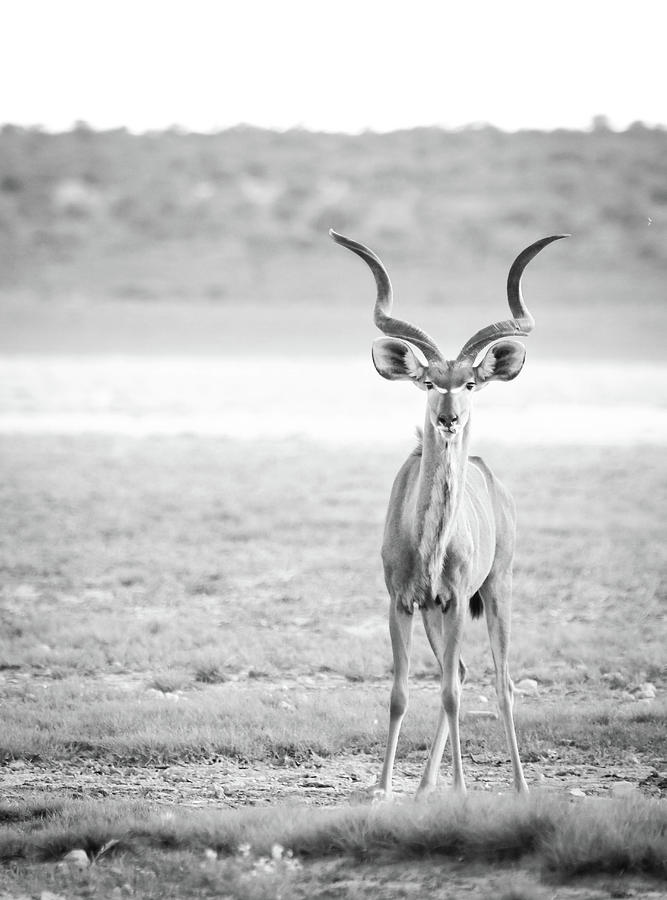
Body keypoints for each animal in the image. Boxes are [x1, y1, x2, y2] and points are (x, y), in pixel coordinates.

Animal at [332, 229, 568, 800]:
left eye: (470, 383)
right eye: (428, 381)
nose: (448, 418)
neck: (430, 542)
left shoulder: (459, 598)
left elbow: (452, 694)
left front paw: (460, 789)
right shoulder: (401, 601)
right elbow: (401, 692)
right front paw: (384, 789)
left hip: (498, 588)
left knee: (500, 682)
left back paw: (519, 787)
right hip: (436, 611)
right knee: (458, 672)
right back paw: (424, 785)